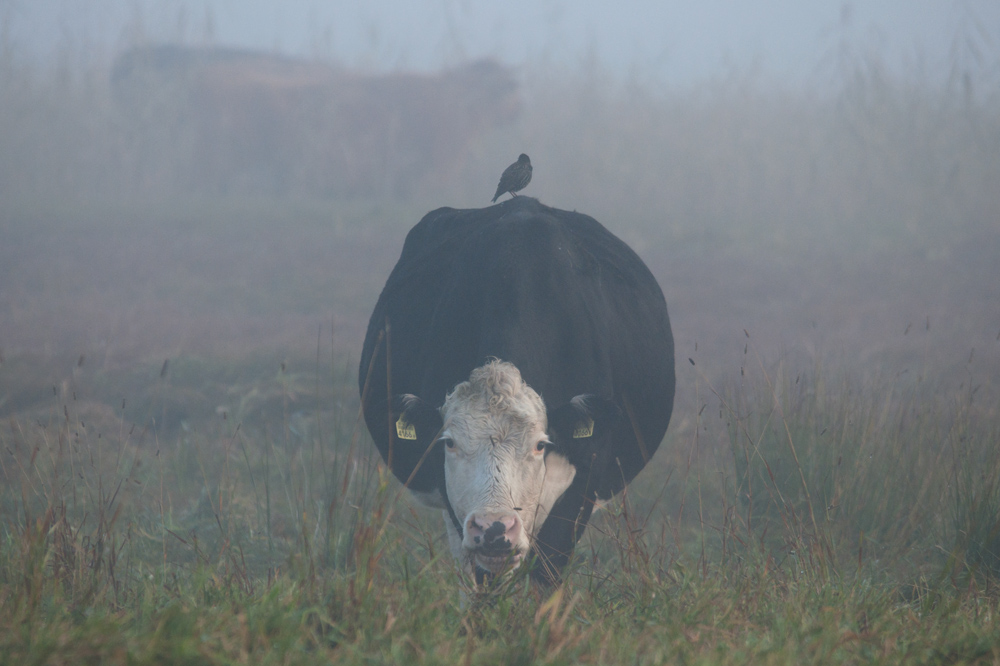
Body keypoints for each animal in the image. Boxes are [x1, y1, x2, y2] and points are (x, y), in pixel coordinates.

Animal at [358, 195, 672, 584]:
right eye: (449, 443)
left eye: (540, 445)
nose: (494, 528)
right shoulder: (454, 501)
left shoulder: (584, 481)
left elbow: (546, 572)